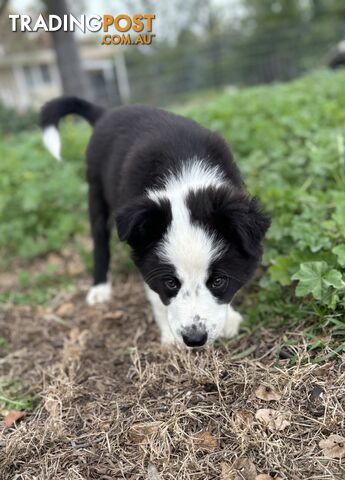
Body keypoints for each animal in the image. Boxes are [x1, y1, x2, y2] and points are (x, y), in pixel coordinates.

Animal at [40, 95, 268, 346]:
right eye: (171, 283)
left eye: (218, 281)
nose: (194, 339)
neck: (184, 179)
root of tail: (106, 113)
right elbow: (156, 295)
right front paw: (170, 336)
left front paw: (229, 320)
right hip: (95, 192)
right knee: (100, 242)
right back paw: (100, 288)